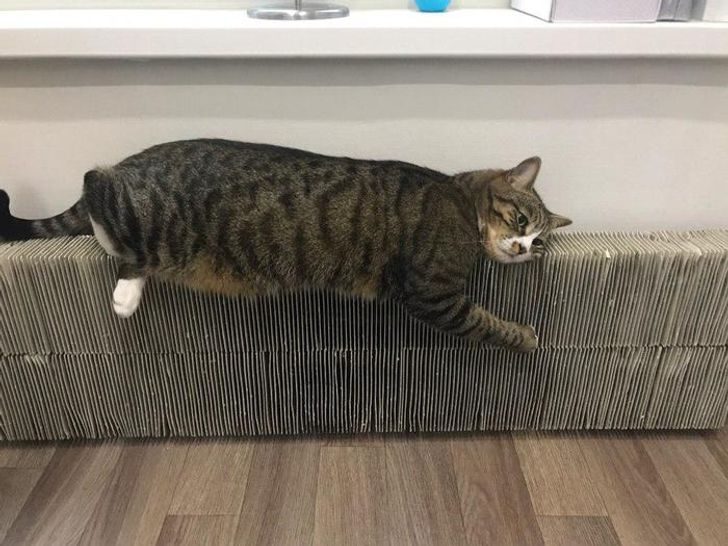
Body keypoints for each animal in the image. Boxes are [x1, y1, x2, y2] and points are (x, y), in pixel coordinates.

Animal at [0, 139, 571, 352]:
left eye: (540, 242)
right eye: (521, 219)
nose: (524, 248)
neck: (461, 200)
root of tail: (135, 160)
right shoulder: (434, 295)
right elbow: (484, 321)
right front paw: (526, 336)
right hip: (145, 214)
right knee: (93, 184)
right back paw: (122, 286)